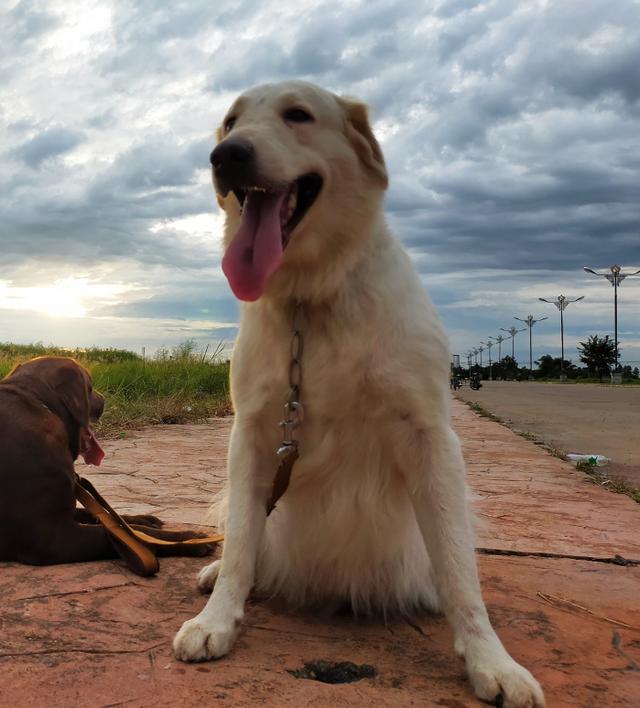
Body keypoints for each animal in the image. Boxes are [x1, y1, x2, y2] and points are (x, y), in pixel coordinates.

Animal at [0, 356, 210, 568]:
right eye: (91, 386)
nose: (103, 399)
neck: (40, 404)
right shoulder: (53, 539)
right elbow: (137, 536)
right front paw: (189, 539)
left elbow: (109, 517)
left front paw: (142, 519)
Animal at [175, 80, 544, 704]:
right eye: (229, 123)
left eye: (298, 115)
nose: (225, 157)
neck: (312, 298)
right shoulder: (251, 434)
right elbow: (243, 543)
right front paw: (217, 619)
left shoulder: (429, 436)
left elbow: (460, 575)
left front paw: (492, 661)